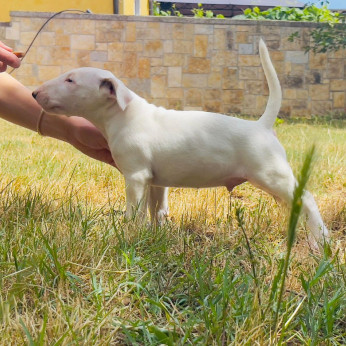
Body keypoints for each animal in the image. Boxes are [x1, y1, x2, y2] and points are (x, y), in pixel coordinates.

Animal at [33, 39, 330, 246]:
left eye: (70, 80)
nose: (34, 93)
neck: (124, 114)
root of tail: (262, 126)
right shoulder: (155, 179)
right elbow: (156, 209)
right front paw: (155, 234)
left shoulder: (136, 176)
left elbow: (134, 210)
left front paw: (128, 232)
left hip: (272, 174)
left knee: (307, 199)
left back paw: (320, 240)